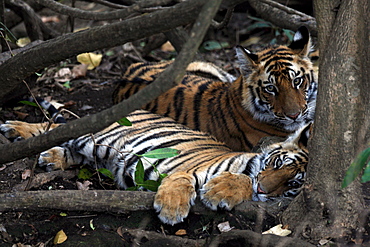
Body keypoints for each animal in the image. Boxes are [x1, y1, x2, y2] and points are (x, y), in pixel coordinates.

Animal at [0, 111, 310, 225]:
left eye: (293, 184)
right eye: (278, 163)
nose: (264, 189)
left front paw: (222, 191)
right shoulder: (189, 168)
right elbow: (181, 180)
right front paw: (172, 210)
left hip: (98, 151)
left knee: (72, 150)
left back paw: (51, 157)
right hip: (91, 133)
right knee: (53, 126)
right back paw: (14, 128)